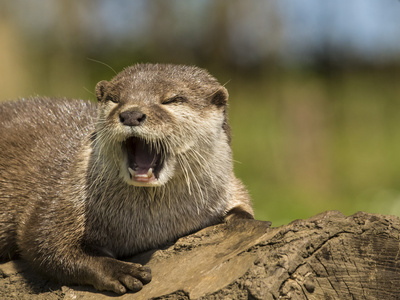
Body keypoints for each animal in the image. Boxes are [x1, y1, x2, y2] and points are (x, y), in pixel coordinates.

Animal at [0, 62, 253, 292]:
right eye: (114, 99)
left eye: (172, 99)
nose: (131, 114)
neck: (152, 228)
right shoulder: (63, 196)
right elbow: (45, 243)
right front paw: (119, 270)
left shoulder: (231, 185)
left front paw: (238, 217)